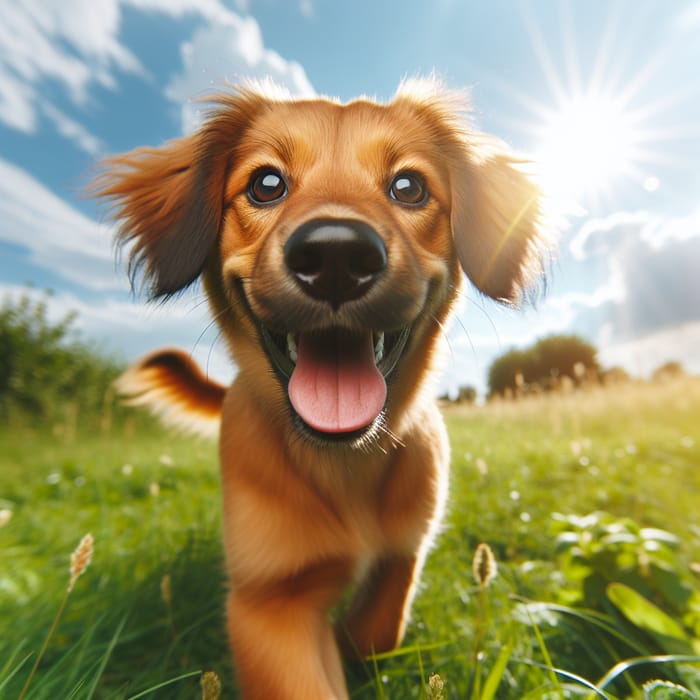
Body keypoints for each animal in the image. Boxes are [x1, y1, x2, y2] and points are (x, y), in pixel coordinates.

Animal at [93, 79, 548, 696]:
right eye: (266, 184)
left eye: (409, 186)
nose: (336, 255)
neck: (343, 463)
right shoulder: (269, 601)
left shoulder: (409, 541)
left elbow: (381, 623)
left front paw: (350, 639)